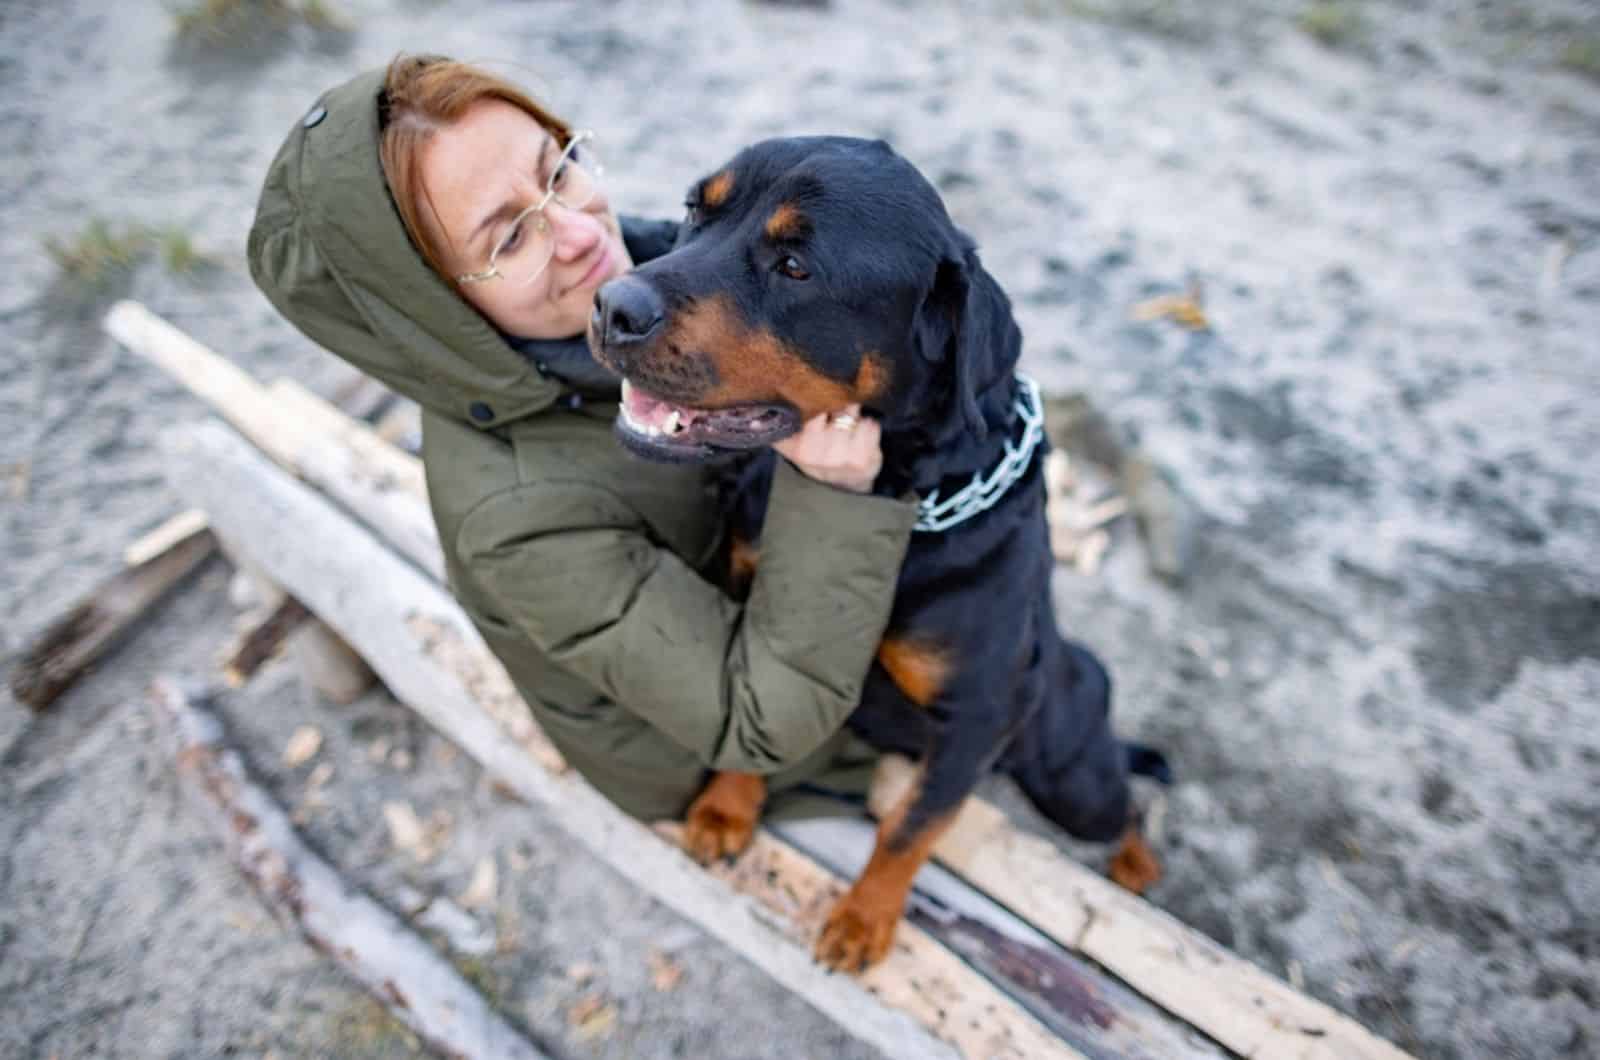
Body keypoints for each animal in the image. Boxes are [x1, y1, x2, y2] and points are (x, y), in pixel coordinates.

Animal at [585, 136, 1164, 973]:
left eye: (796, 266)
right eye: (697, 209)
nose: (611, 305)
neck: (903, 503)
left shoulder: (976, 716)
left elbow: (911, 827)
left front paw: (864, 919)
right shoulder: (757, 618)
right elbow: (753, 716)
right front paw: (727, 809)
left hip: (1068, 773)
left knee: (1124, 805)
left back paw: (1137, 864)